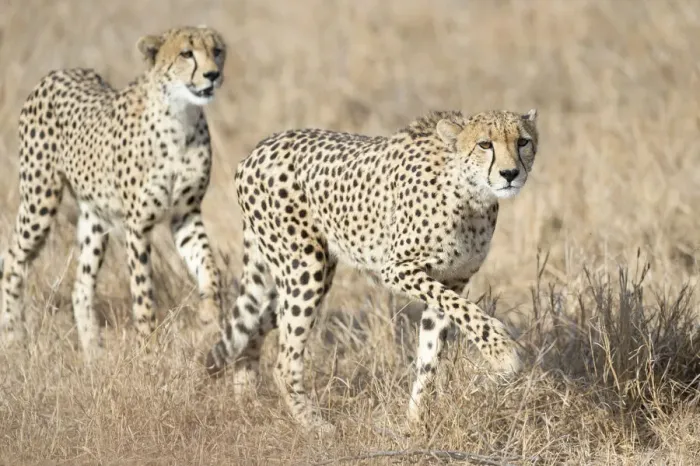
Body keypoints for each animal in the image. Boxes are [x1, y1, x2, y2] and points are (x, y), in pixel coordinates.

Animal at [0, 25, 227, 361]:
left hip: (96, 220)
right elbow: (144, 293)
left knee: (80, 285)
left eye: (217, 51)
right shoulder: (138, 225)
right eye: (186, 53)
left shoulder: (186, 215)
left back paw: (93, 355)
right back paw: (13, 339)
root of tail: (60, 71)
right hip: (40, 200)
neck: (181, 117)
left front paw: (210, 317)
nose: (212, 75)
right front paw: (149, 353)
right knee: (13, 257)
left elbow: (210, 268)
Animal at [205, 108, 539, 431]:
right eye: (485, 144)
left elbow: (430, 354)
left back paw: (246, 400)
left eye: (523, 142)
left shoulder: (451, 280)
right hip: (305, 269)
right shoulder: (398, 269)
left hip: (302, 274)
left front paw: (415, 423)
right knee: (284, 362)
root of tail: (260, 147)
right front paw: (502, 353)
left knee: (252, 329)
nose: (510, 174)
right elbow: (470, 315)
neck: (472, 195)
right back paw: (315, 425)